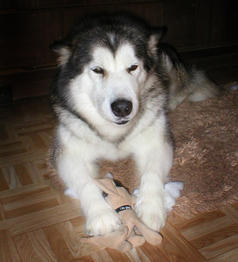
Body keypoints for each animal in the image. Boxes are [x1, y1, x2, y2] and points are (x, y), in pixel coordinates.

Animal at [48, 12, 221, 235]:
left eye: (132, 67)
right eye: (97, 70)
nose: (122, 108)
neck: (115, 133)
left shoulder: (157, 141)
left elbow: (153, 172)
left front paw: (151, 208)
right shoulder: (67, 152)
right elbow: (85, 181)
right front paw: (101, 215)